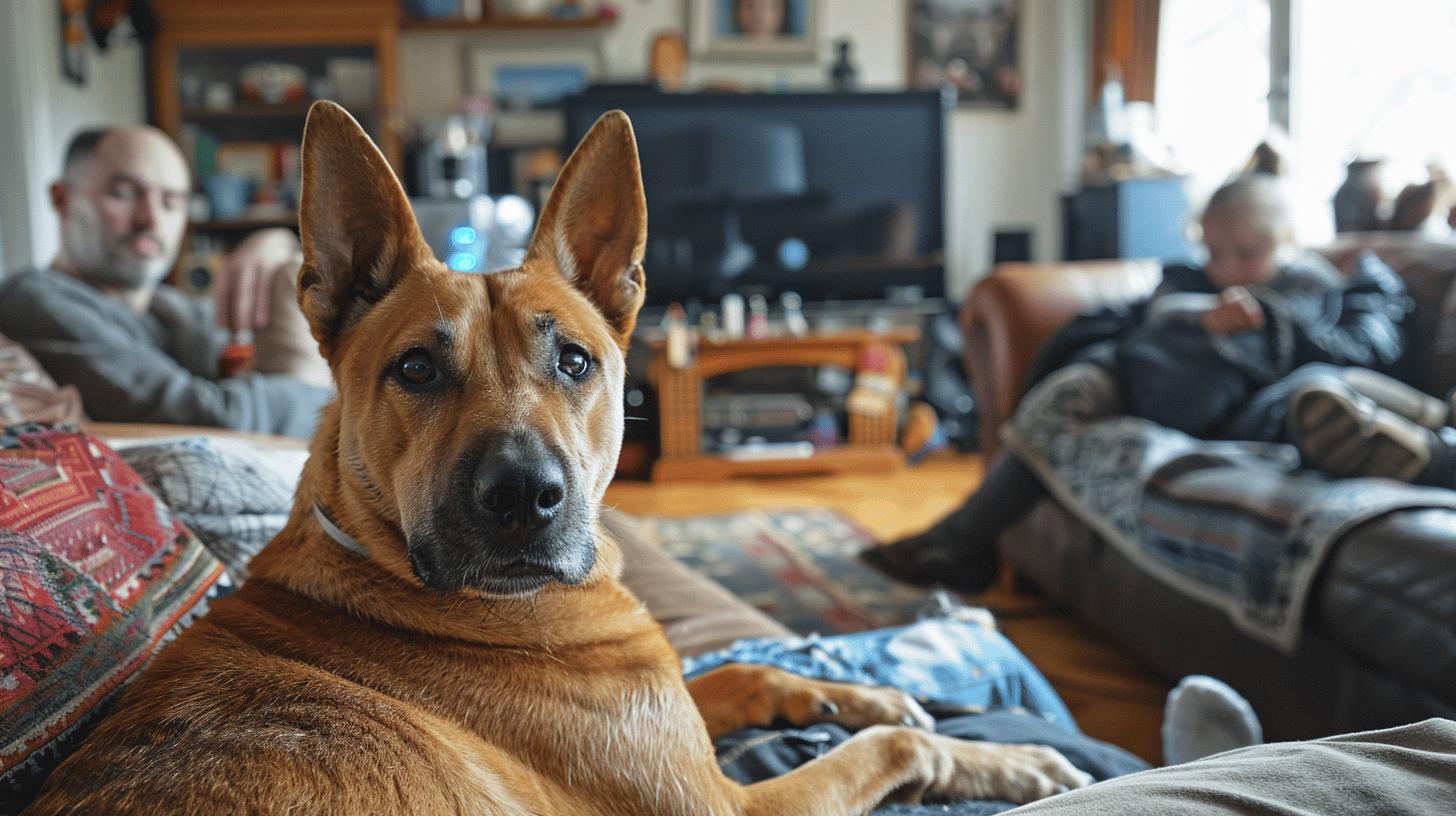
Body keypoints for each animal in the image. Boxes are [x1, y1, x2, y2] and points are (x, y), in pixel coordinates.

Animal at [25, 104, 1094, 810]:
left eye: (575, 360)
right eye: (416, 368)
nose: (525, 498)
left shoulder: (676, 712)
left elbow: (749, 675)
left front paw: (863, 689)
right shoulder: (733, 804)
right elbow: (882, 753)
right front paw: (1008, 762)